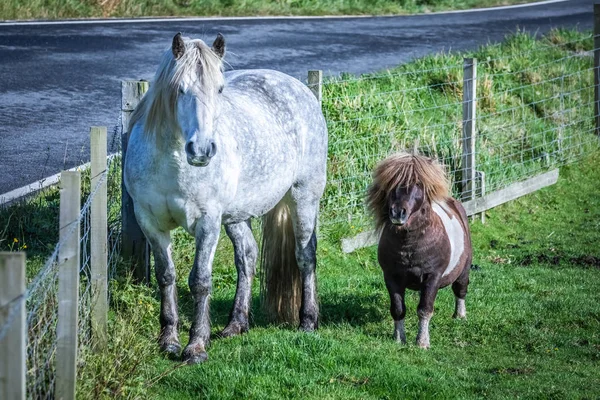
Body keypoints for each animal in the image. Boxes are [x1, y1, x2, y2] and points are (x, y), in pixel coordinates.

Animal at [123, 32, 328, 364]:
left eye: (219, 89)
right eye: (180, 89)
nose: (202, 150)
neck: (172, 164)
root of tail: (299, 88)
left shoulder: (207, 222)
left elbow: (200, 281)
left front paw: (196, 346)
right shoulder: (150, 222)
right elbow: (166, 276)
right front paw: (168, 340)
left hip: (304, 195)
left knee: (305, 256)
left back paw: (308, 322)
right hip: (236, 215)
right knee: (247, 256)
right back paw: (236, 324)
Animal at [366, 152, 474, 348]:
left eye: (417, 183)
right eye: (391, 182)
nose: (397, 213)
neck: (409, 245)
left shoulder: (433, 277)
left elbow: (425, 309)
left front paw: (422, 342)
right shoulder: (391, 277)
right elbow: (398, 309)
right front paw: (399, 338)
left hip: (464, 268)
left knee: (460, 289)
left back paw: (460, 316)